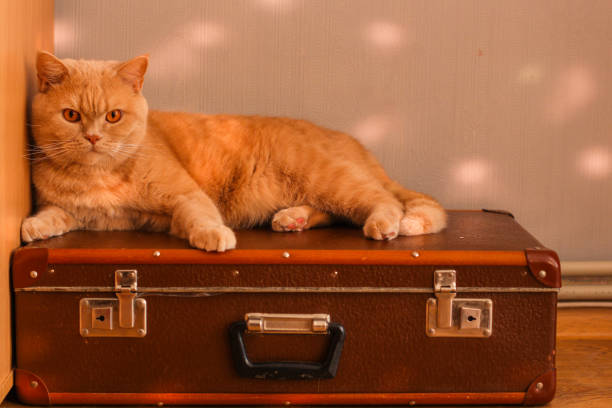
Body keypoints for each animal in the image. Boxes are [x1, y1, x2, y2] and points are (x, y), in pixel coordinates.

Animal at [22, 53, 444, 252]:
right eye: (71, 115)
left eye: (113, 116)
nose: (93, 137)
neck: (99, 177)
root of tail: (351, 141)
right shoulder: (79, 213)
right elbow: (54, 215)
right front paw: (33, 225)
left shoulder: (185, 195)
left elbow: (201, 216)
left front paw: (214, 236)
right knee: (339, 211)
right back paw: (293, 218)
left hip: (327, 177)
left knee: (384, 201)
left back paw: (384, 224)